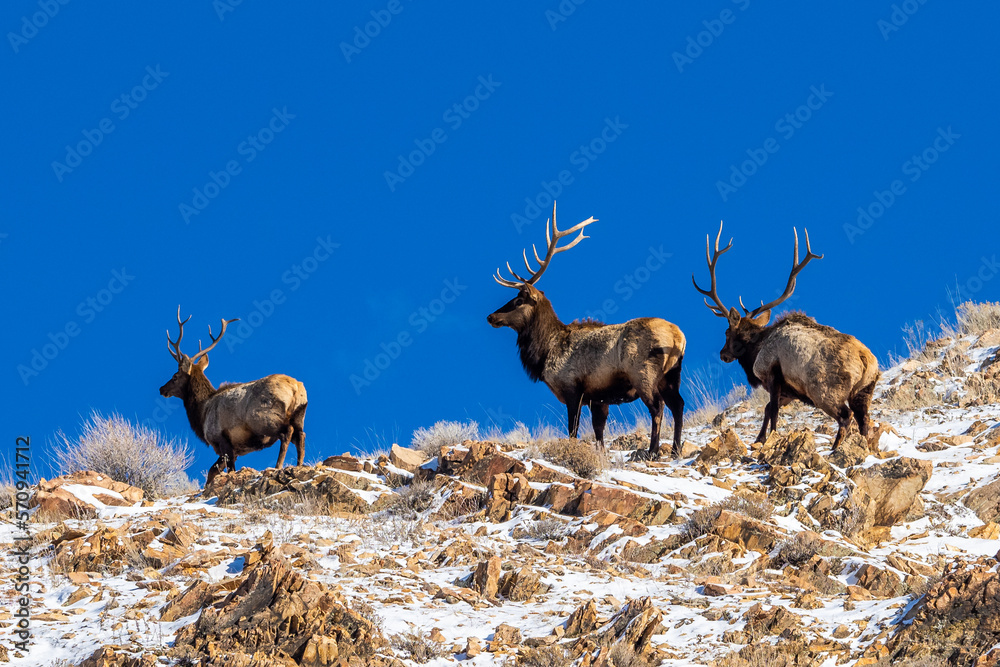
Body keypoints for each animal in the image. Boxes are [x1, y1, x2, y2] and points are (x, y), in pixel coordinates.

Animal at [160, 308, 306, 486]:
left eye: (175, 376)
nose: (162, 389)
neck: (201, 412)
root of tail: (295, 387)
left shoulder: (221, 439)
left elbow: (226, 471)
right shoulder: (234, 449)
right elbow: (212, 472)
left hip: (265, 418)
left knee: (287, 432)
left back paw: (277, 466)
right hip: (299, 416)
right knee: (300, 436)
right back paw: (299, 465)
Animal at [486, 204, 688, 462]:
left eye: (519, 300)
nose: (491, 317)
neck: (545, 353)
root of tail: (678, 337)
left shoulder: (574, 388)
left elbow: (573, 430)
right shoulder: (598, 398)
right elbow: (599, 433)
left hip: (644, 374)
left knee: (658, 407)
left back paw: (653, 451)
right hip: (672, 375)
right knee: (678, 405)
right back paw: (675, 449)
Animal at [696, 224, 876, 448]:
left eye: (727, 332)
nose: (723, 354)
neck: (756, 350)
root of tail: (866, 359)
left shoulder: (772, 374)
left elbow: (772, 410)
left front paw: (770, 439)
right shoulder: (790, 392)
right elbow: (767, 409)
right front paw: (760, 438)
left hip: (826, 391)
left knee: (846, 416)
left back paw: (835, 449)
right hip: (864, 391)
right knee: (864, 420)